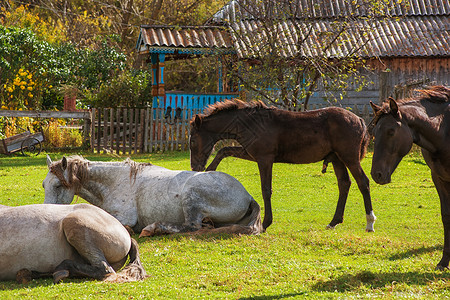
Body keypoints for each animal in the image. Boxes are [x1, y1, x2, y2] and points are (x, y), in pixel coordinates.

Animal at [44, 155, 262, 237]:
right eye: (44, 185)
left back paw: (153, 228)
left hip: (191, 196)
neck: (116, 182)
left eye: (58, 185)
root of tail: (247, 196)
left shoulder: (124, 218)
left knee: (192, 227)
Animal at [190, 99, 376, 231]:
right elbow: (224, 150)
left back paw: (370, 223)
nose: (194, 167)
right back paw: (334, 222)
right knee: (344, 183)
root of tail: (359, 120)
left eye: (192, 141)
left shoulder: (264, 158)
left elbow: (266, 189)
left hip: (349, 157)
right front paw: (210, 170)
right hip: (337, 158)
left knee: (363, 182)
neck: (251, 124)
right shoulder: (252, 154)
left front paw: (265, 223)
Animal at [370, 86, 450, 270]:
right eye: (374, 132)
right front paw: (444, 262)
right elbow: (446, 216)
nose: (376, 174)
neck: (444, 130)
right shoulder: (439, 178)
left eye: (391, 131)